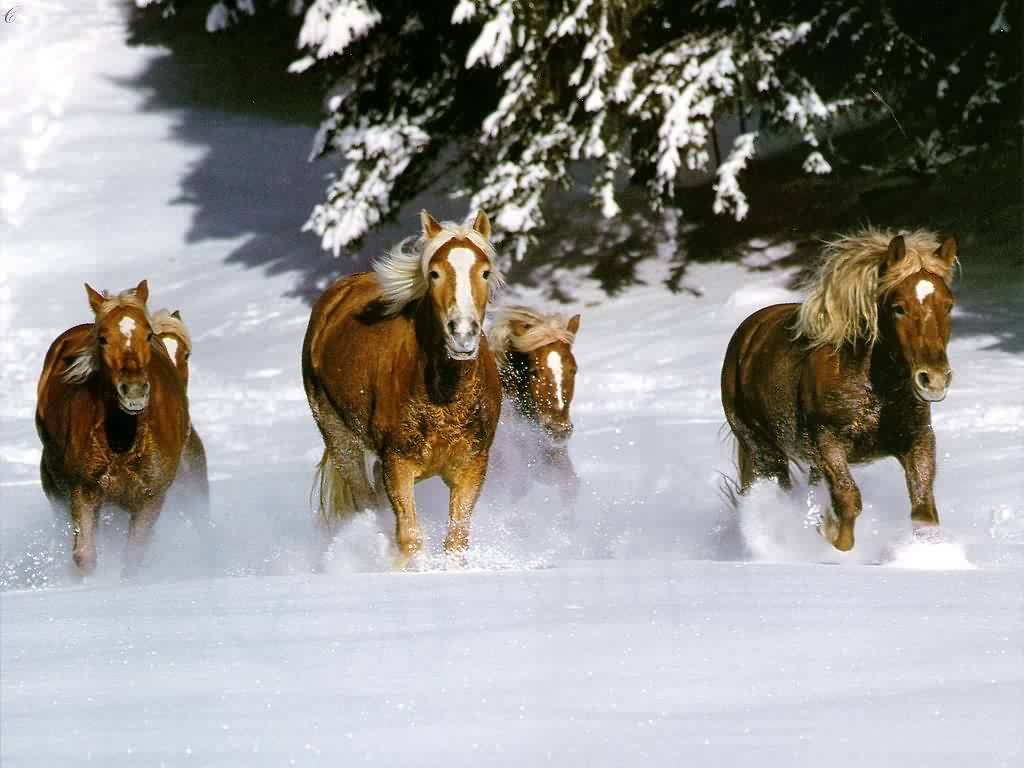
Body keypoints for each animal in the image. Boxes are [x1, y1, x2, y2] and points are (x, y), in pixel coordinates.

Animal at [35, 280, 190, 573]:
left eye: (148, 335)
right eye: (103, 338)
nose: (134, 392)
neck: (123, 441)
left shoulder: (151, 499)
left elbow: (133, 558)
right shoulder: (83, 491)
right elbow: (84, 556)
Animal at [299, 210, 503, 565]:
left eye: (485, 272)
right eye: (434, 273)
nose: (462, 334)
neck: (445, 400)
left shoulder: (472, 465)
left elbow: (456, 540)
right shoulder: (398, 464)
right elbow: (410, 538)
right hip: (339, 439)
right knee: (366, 499)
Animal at [720, 228, 958, 552]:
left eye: (948, 305)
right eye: (898, 308)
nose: (933, 379)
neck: (877, 392)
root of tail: (747, 334)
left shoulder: (918, 440)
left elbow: (924, 510)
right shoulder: (828, 443)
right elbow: (848, 500)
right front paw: (830, 538)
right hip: (762, 448)